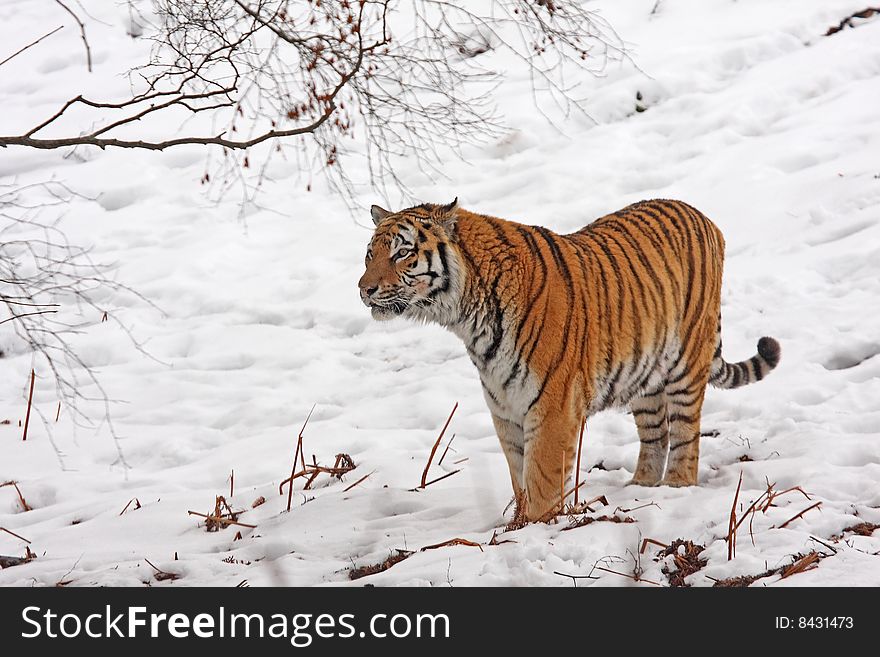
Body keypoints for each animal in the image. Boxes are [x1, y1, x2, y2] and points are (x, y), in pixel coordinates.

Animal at [354, 197, 780, 520]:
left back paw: (675, 487)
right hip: (645, 374)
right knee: (655, 434)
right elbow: (519, 475)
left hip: (686, 363)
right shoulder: (505, 409)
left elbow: (541, 480)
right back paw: (641, 488)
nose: (364, 289)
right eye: (370, 255)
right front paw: (516, 526)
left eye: (403, 253)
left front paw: (535, 529)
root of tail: (701, 215)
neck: (467, 318)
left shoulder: (552, 407)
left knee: (686, 436)